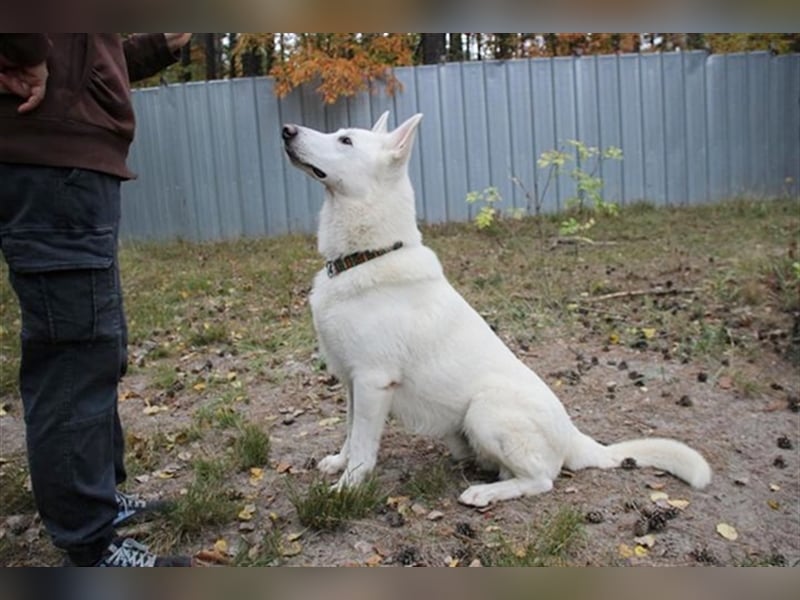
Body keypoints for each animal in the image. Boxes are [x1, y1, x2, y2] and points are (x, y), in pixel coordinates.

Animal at [282, 112, 712, 506]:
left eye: (346, 141)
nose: (286, 129)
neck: (366, 256)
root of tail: (575, 439)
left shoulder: (373, 382)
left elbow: (363, 447)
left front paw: (347, 490)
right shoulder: (352, 382)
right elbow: (349, 433)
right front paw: (338, 463)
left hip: (484, 410)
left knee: (542, 480)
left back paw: (484, 493)